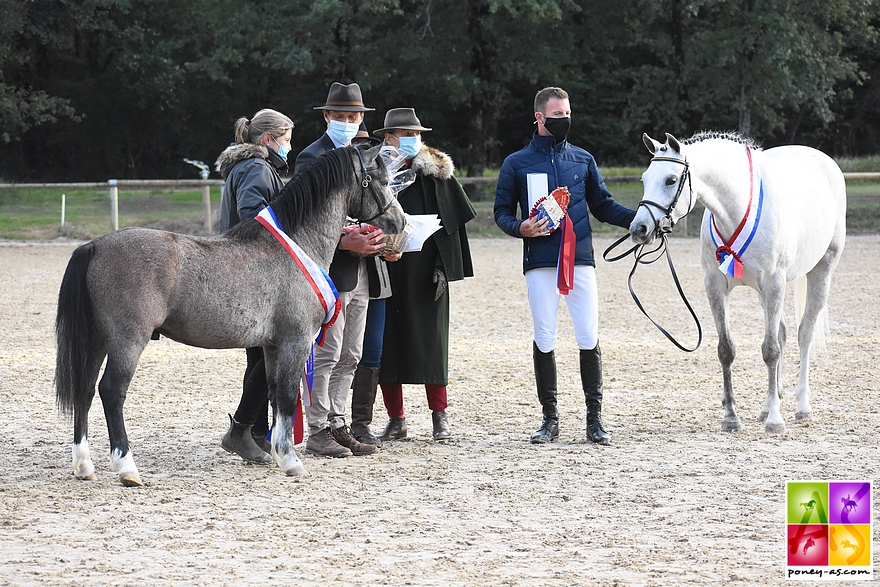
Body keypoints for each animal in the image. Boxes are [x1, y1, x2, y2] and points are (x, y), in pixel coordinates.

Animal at [632, 134, 844, 436]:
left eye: (671, 180)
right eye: (644, 178)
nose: (638, 229)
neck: (738, 208)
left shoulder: (774, 284)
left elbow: (770, 351)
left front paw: (775, 421)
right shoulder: (715, 286)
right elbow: (727, 349)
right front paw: (731, 417)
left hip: (821, 271)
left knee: (804, 334)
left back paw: (801, 407)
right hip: (764, 294)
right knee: (782, 333)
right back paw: (768, 405)